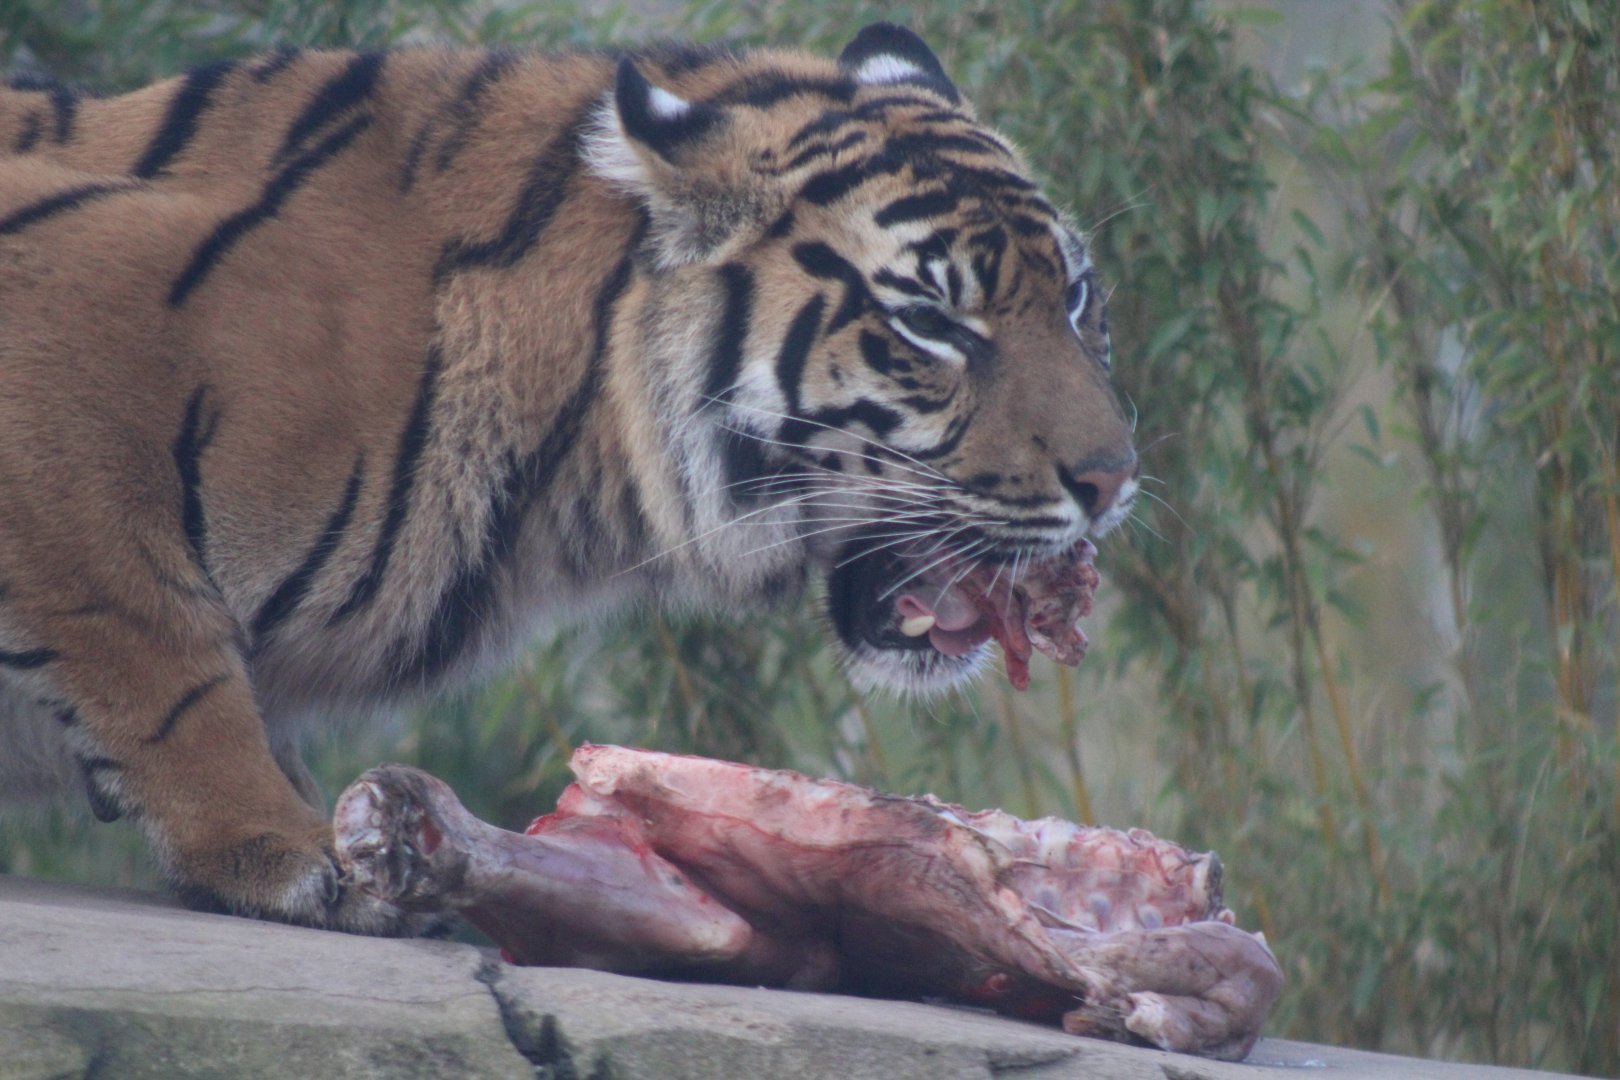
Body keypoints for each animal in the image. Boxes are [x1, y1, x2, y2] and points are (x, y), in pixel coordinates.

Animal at [0, 23, 1137, 932]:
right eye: (933, 323)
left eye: (1079, 298)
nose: (1115, 480)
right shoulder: (66, 327)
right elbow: (151, 637)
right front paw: (282, 847)